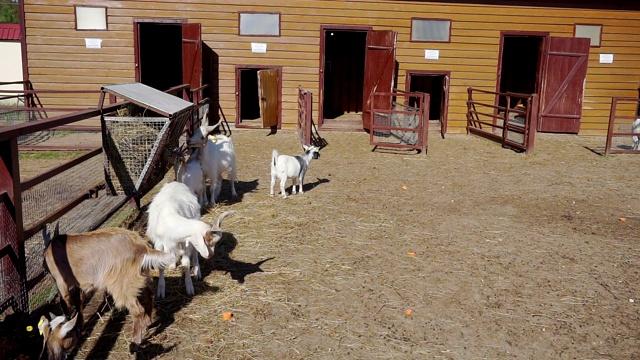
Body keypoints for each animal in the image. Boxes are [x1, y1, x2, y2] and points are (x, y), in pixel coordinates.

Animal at [42, 225, 175, 352]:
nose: (43, 265)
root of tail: (141, 247)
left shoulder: (61, 282)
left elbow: (66, 304)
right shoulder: (79, 284)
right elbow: (79, 301)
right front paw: (79, 325)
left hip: (121, 284)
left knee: (137, 311)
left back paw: (135, 343)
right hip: (140, 277)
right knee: (149, 295)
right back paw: (147, 323)